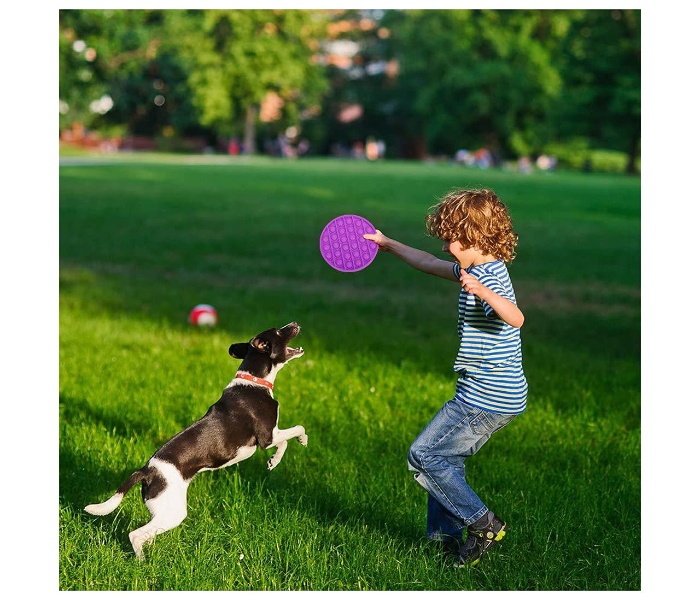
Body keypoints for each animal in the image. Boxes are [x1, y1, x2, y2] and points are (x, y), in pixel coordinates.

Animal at [83, 322, 308, 560]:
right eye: (279, 331)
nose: (294, 324)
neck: (254, 380)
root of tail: (146, 471)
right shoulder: (267, 436)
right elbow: (296, 430)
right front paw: (302, 440)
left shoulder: (271, 436)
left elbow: (284, 442)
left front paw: (274, 461)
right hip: (173, 512)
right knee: (135, 535)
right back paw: (142, 562)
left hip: (162, 511)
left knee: (147, 533)